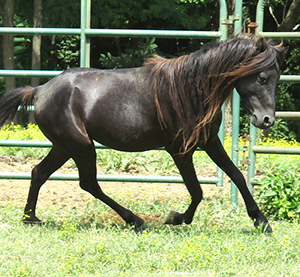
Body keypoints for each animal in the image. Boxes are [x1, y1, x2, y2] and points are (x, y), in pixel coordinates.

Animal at [0, 35, 284, 232]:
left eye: (277, 78)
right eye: (262, 77)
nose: (266, 120)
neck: (190, 89)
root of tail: (40, 90)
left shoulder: (210, 141)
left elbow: (237, 176)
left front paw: (262, 222)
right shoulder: (180, 150)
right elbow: (196, 190)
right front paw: (177, 218)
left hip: (64, 147)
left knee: (39, 173)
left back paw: (31, 218)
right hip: (81, 146)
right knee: (88, 183)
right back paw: (135, 220)